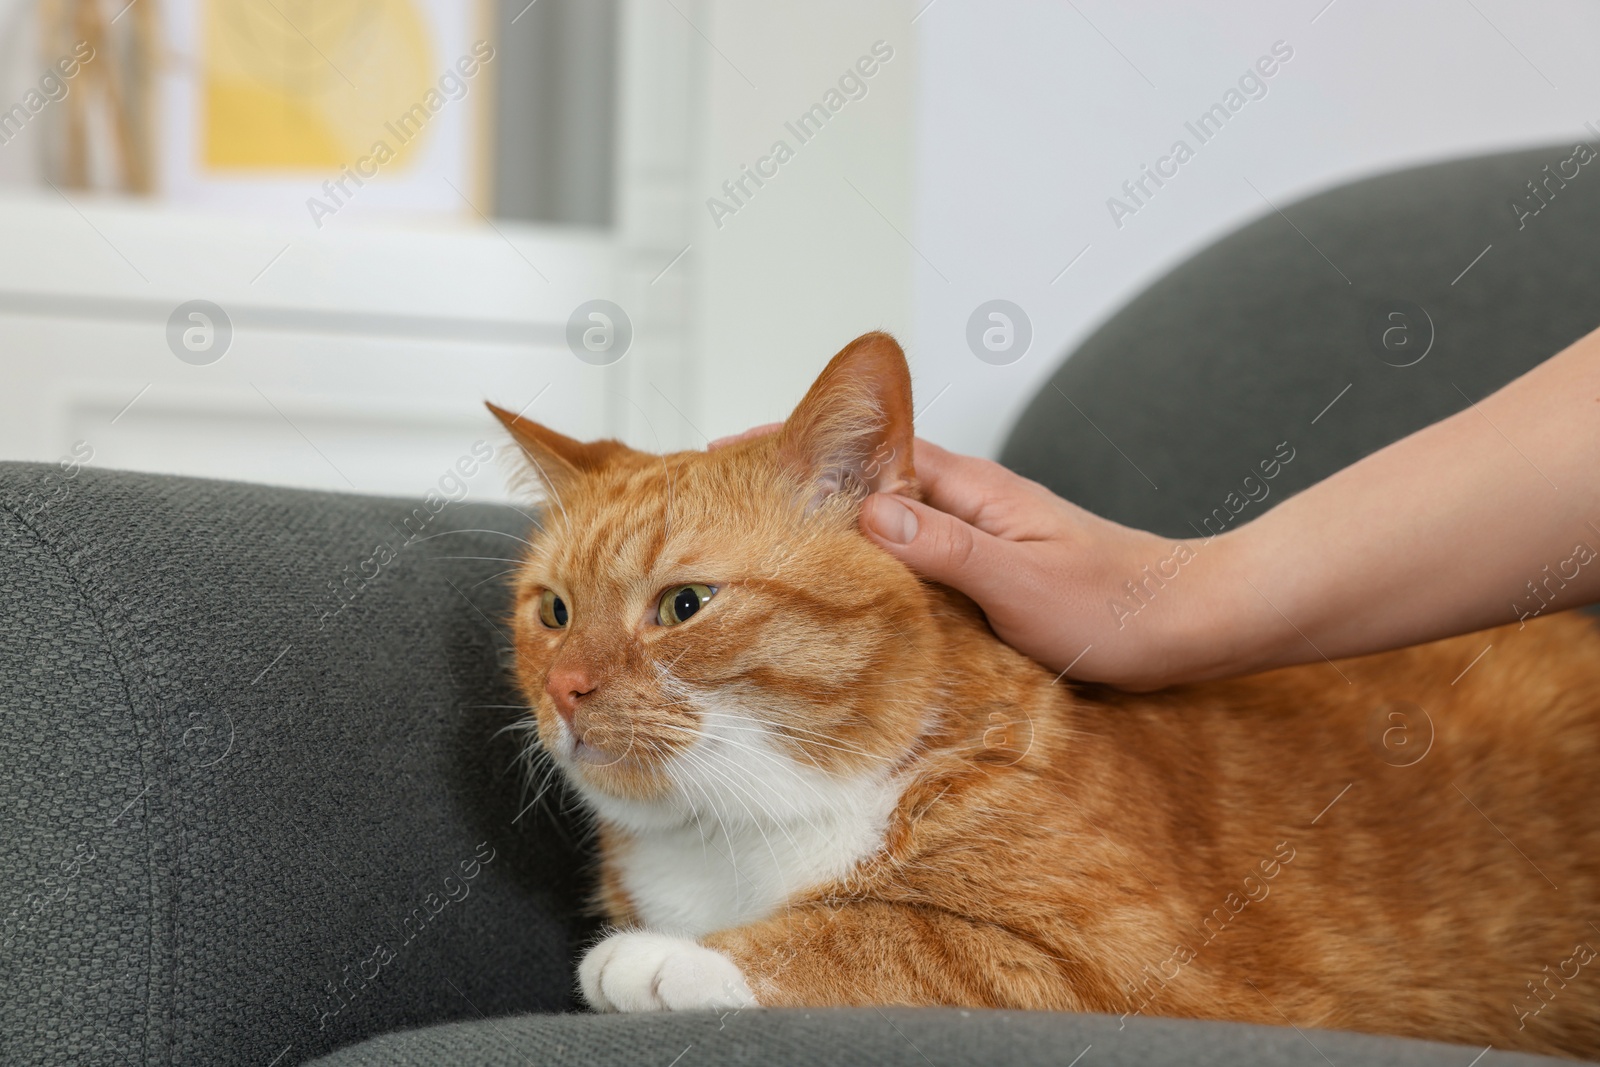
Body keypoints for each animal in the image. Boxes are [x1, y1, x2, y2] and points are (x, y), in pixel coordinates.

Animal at [486, 334, 1600, 1062]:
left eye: (683, 604)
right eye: (552, 610)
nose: (567, 690)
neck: (733, 830)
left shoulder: (1128, 972)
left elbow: (884, 933)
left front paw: (664, 961)